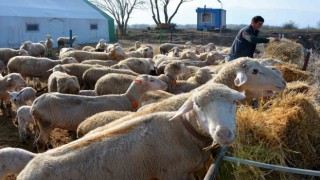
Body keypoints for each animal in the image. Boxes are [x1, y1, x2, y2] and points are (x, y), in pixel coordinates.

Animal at [18, 82, 245, 179]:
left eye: (234, 102)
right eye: (197, 105)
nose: (223, 134)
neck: (183, 131)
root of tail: (25, 173)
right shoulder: (173, 175)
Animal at [31, 74, 168, 152]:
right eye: (151, 80)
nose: (166, 85)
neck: (127, 98)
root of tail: (35, 102)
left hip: (41, 123)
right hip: (46, 123)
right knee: (39, 142)